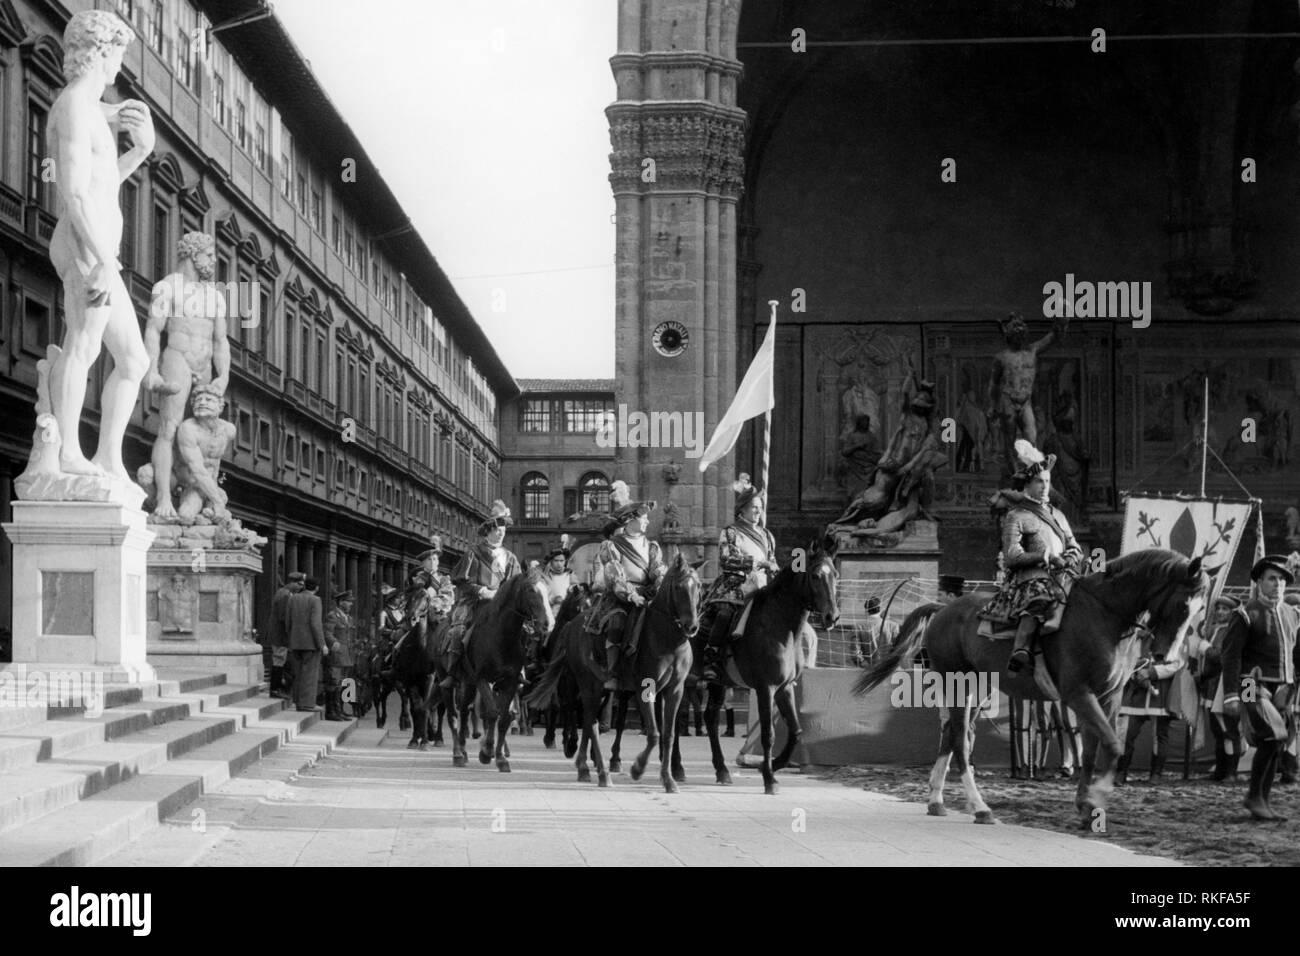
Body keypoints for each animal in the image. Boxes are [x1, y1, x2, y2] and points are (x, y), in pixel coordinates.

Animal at [428, 567, 546, 770]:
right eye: (530, 590)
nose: (546, 624)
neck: (501, 637)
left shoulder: (510, 681)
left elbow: (504, 718)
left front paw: (500, 758)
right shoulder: (482, 678)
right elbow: (491, 712)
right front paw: (487, 752)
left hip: (468, 682)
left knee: (465, 711)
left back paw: (464, 751)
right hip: (447, 680)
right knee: (453, 716)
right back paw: (457, 754)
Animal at [527, 554, 707, 790]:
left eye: (699, 586)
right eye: (678, 587)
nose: (691, 626)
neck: (666, 639)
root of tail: (570, 626)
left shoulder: (675, 690)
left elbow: (667, 734)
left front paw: (668, 779)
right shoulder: (645, 688)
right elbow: (653, 733)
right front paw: (637, 769)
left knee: (590, 722)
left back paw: (585, 767)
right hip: (588, 685)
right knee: (587, 721)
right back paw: (598, 771)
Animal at [691, 535, 842, 796]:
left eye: (834, 574)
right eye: (814, 575)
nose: (832, 617)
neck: (780, 626)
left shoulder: (785, 688)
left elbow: (795, 731)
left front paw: (772, 764)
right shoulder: (765, 688)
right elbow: (767, 734)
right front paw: (769, 778)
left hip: (718, 682)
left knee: (710, 717)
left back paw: (721, 770)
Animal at [852, 548, 1206, 832]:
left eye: (1200, 609)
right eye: (1183, 604)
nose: (1165, 656)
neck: (1104, 616)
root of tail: (942, 608)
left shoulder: (1108, 697)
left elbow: (1093, 751)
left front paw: (1086, 806)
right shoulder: (1079, 694)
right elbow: (1113, 745)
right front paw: (1095, 800)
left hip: (978, 688)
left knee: (951, 734)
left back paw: (937, 801)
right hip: (957, 684)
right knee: (960, 741)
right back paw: (980, 808)